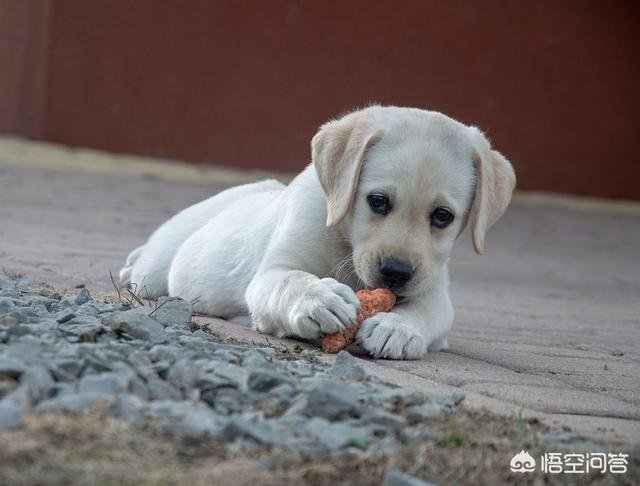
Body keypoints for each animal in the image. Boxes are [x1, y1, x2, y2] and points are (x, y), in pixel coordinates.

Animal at [121, 105, 516, 356]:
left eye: (442, 216)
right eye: (377, 201)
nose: (395, 272)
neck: (345, 243)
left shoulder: (434, 288)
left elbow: (428, 311)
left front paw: (397, 327)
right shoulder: (271, 272)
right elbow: (290, 280)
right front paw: (319, 298)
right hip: (157, 269)